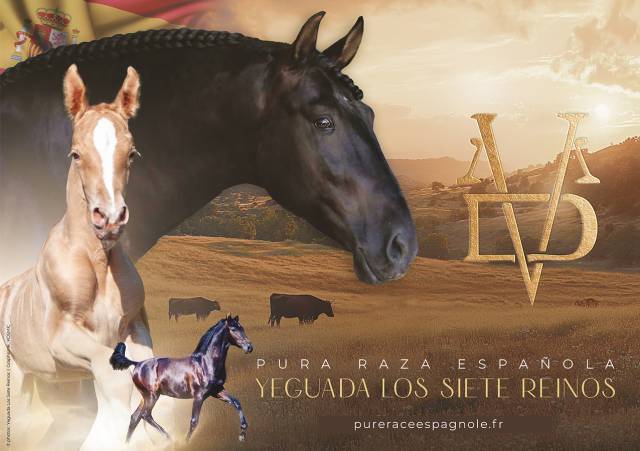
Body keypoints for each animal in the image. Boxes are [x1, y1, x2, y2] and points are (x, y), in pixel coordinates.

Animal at [0, 64, 153, 450]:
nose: (109, 218)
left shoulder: (134, 328)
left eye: (132, 154)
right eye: (75, 154)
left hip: (55, 385)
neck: (98, 265)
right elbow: (113, 382)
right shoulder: (63, 339)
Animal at [110, 314, 253, 443]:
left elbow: (236, 402)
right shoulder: (199, 396)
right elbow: (194, 421)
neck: (206, 363)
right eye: (233, 329)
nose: (249, 347)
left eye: (242, 328)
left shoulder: (217, 391)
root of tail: (137, 364)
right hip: (152, 396)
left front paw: (242, 433)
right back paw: (169, 439)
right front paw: (186, 442)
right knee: (145, 415)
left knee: (135, 417)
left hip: (145, 397)